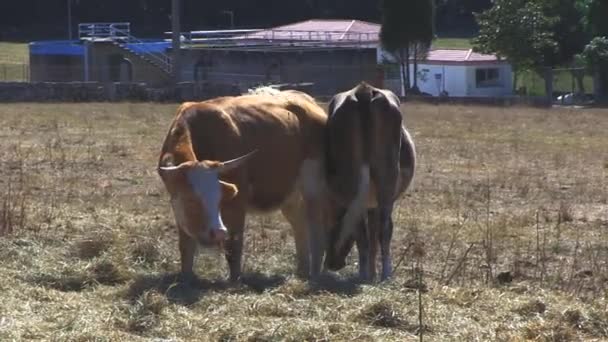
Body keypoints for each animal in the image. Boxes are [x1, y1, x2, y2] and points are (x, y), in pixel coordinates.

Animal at [156, 89, 328, 284]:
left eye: (220, 199)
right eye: (191, 200)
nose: (218, 232)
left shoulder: (237, 202)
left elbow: (234, 244)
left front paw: (234, 280)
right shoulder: (178, 207)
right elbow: (186, 246)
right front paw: (186, 278)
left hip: (313, 189)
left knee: (316, 228)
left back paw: (315, 274)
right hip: (290, 195)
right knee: (299, 225)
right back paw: (302, 271)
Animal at [324, 81, 418, 282]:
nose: (331, 263)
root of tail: (364, 91)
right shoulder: (372, 205)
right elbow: (373, 233)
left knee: (367, 231)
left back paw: (368, 275)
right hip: (385, 179)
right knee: (380, 230)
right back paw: (382, 274)